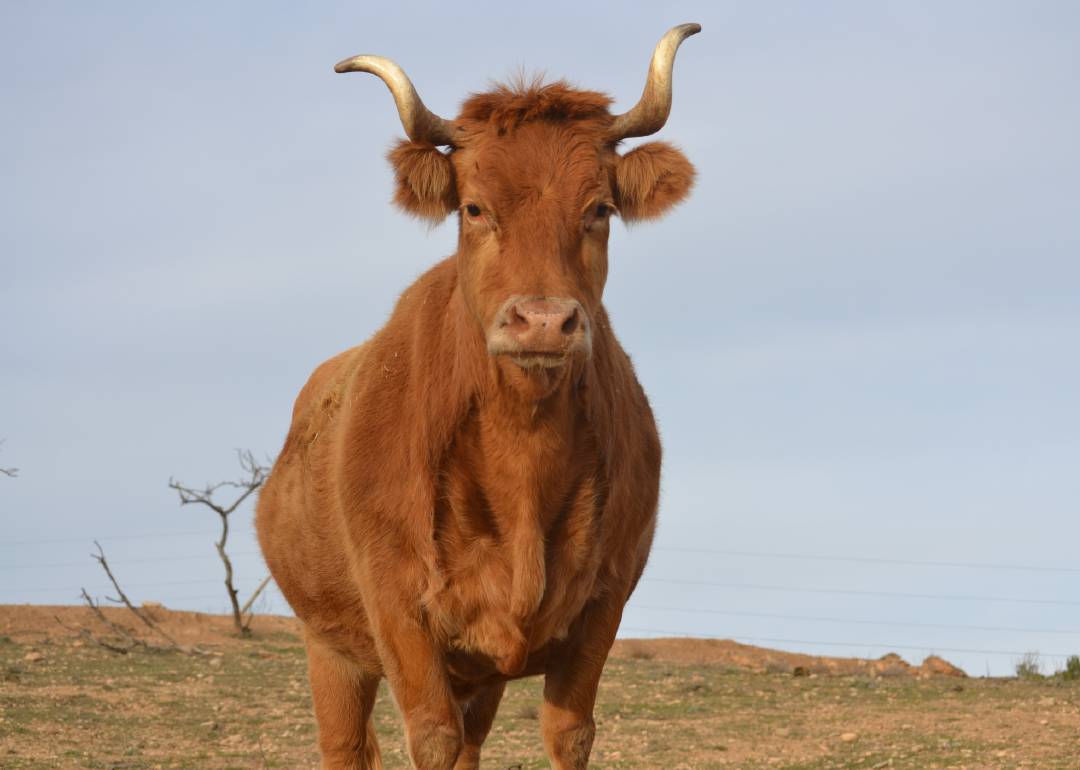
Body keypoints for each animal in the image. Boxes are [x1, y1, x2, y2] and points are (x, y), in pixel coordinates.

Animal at [256, 23, 699, 770]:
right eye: (474, 207)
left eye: (599, 209)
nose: (543, 321)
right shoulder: (398, 611)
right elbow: (431, 736)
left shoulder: (603, 605)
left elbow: (567, 732)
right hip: (330, 647)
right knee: (346, 744)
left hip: (476, 677)